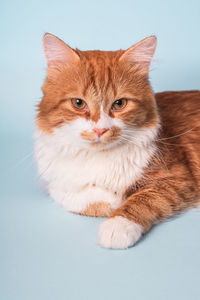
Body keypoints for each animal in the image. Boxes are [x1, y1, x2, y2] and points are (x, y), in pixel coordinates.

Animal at [34, 32, 200, 248]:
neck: (97, 157)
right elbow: (75, 197)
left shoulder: (179, 179)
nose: (100, 130)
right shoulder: (55, 183)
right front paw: (111, 200)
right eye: (78, 103)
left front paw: (117, 225)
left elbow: (142, 199)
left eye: (119, 104)